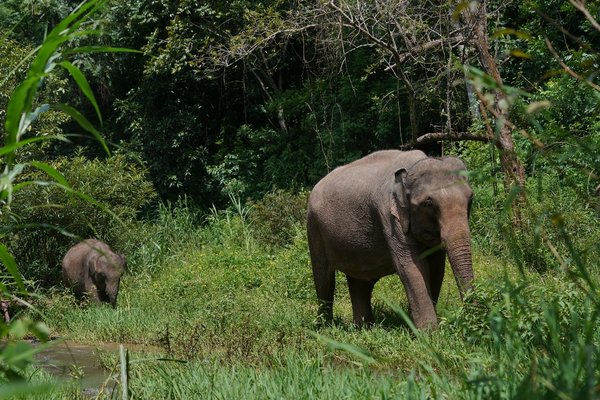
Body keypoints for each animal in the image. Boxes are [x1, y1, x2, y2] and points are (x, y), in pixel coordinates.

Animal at [310, 148, 474, 330]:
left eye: (470, 199)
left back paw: (364, 327)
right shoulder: (390, 217)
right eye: (429, 204)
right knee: (323, 278)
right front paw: (428, 333)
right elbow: (412, 267)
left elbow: (436, 267)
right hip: (314, 227)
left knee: (360, 281)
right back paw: (325, 327)